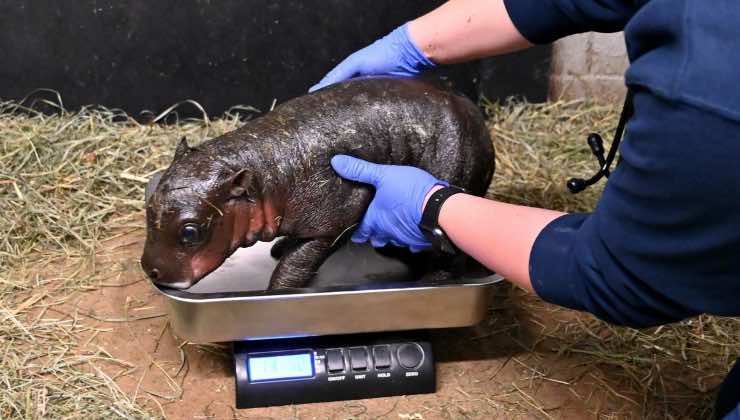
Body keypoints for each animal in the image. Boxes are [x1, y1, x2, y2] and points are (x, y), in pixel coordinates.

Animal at [142, 77, 494, 290]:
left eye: (191, 231)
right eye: (149, 207)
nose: (150, 270)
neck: (264, 171)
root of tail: (476, 116)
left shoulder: (334, 217)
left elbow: (298, 262)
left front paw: (276, 291)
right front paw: (280, 247)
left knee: (450, 255)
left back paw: (432, 281)